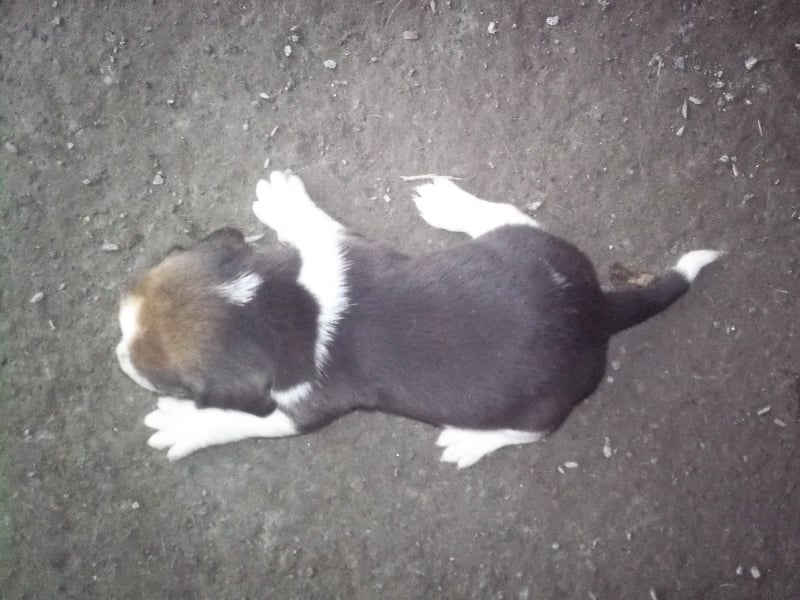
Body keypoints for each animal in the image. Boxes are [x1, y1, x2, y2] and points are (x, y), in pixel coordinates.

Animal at [116, 171, 719, 468]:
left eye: (172, 383)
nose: (118, 350)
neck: (282, 307)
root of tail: (597, 310)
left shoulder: (298, 411)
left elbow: (234, 420)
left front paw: (182, 424)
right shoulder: (339, 249)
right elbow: (319, 227)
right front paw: (285, 203)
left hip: (540, 407)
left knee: (532, 433)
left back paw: (469, 443)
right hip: (533, 246)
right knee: (511, 216)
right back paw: (452, 203)